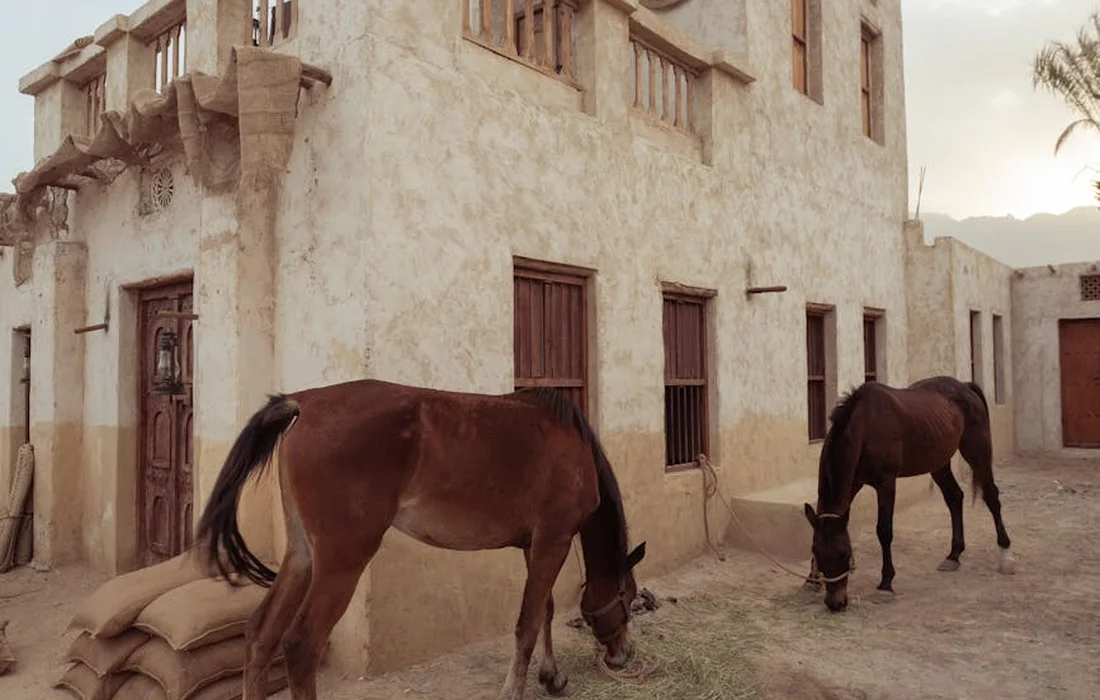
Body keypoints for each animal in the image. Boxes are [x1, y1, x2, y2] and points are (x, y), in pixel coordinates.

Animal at [192, 379, 647, 700]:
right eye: (627, 596)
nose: (622, 655)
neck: (573, 446)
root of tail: (305, 402)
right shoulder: (553, 540)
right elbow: (528, 621)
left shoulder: (534, 545)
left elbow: (545, 610)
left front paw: (552, 677)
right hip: (341, 561)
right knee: (302, 645)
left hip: (302, 555)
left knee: (261, 634)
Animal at [802, 375, 1014, 613]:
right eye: (817, 552)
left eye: (845, 553)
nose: (835, 603)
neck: (866, 425)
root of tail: (965, 386)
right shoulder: (854, 482)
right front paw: (811, 580)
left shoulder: (886, 484)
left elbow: (884, 531)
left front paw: (886, 583)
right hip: (938, 463)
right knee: (954, 497)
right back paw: (954, 555)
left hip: (977, 452)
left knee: (992, 497)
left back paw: (1005, 555)